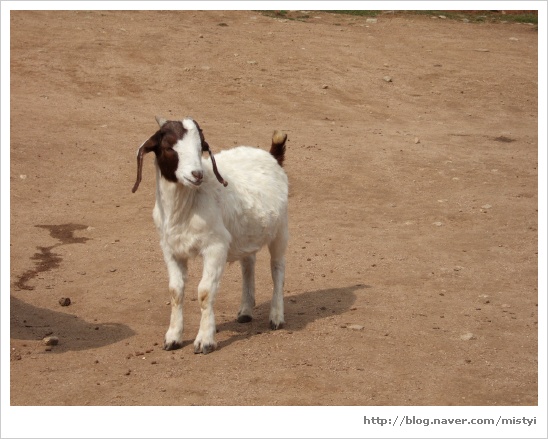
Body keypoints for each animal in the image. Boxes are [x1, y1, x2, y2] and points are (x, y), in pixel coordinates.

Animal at [132, 116, 288, 354]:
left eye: (200, 148)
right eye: (169, 147)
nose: (197, 174)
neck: (185, 206)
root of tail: (272, 156)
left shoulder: (216, 247)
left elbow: (205, 292)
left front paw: (205, 340)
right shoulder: (170, 249)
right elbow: (175, 291)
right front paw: (173, 337)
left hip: (280, 230)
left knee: (277, 268)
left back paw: (276, 316)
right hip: (245, 234)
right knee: (248, 264)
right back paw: (245, 311)